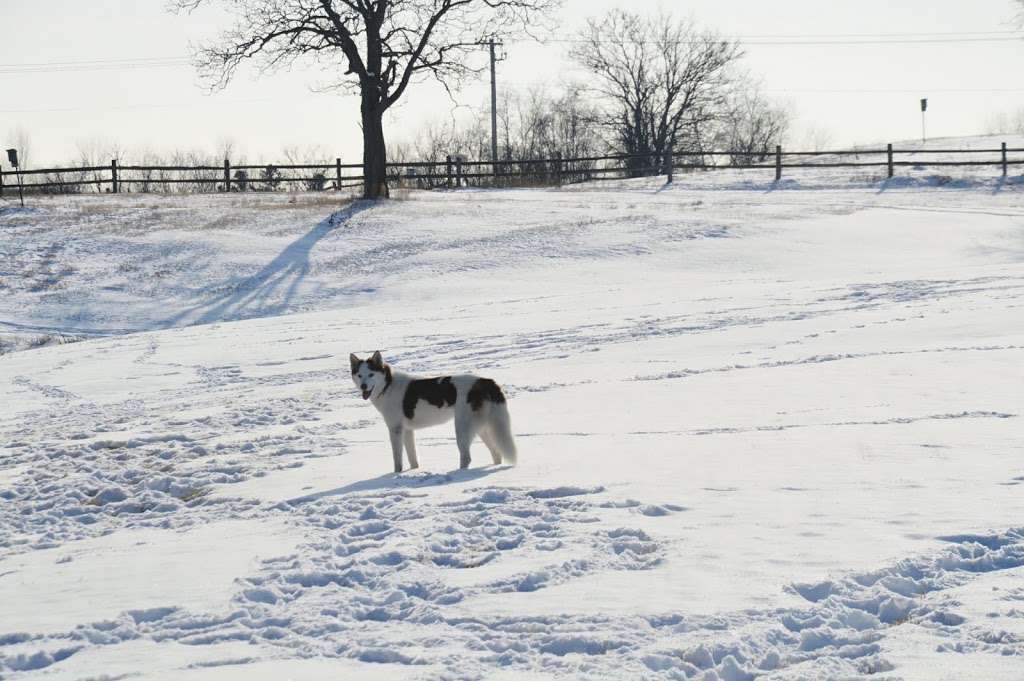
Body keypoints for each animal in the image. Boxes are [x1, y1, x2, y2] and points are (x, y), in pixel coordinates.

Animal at [350, 350, 516, 473]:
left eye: (371, 374)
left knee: (466, 457)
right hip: (483, 428)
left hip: (462, 428)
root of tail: (486, 381)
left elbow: (397, 460)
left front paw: (396, 475)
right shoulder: (407, 430)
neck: (387, 385)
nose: (363, 386)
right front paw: (414, 472)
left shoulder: (395, 430)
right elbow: (412, 458)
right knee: (496, 453)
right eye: (360, 375)